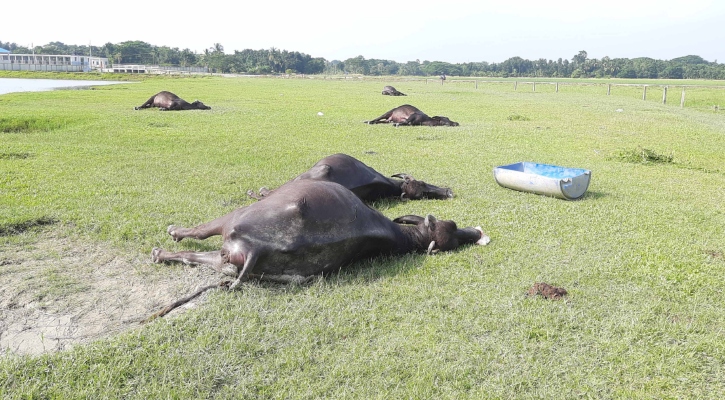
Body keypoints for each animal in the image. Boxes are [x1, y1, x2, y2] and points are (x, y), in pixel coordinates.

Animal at [151, 180, 490, 290]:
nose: (478, 233)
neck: (400, 236)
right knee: (200, 258)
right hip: (232, 261)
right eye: (454, 227)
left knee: (194, 242)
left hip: (233, 221)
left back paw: (164, 247)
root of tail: (257, 249)